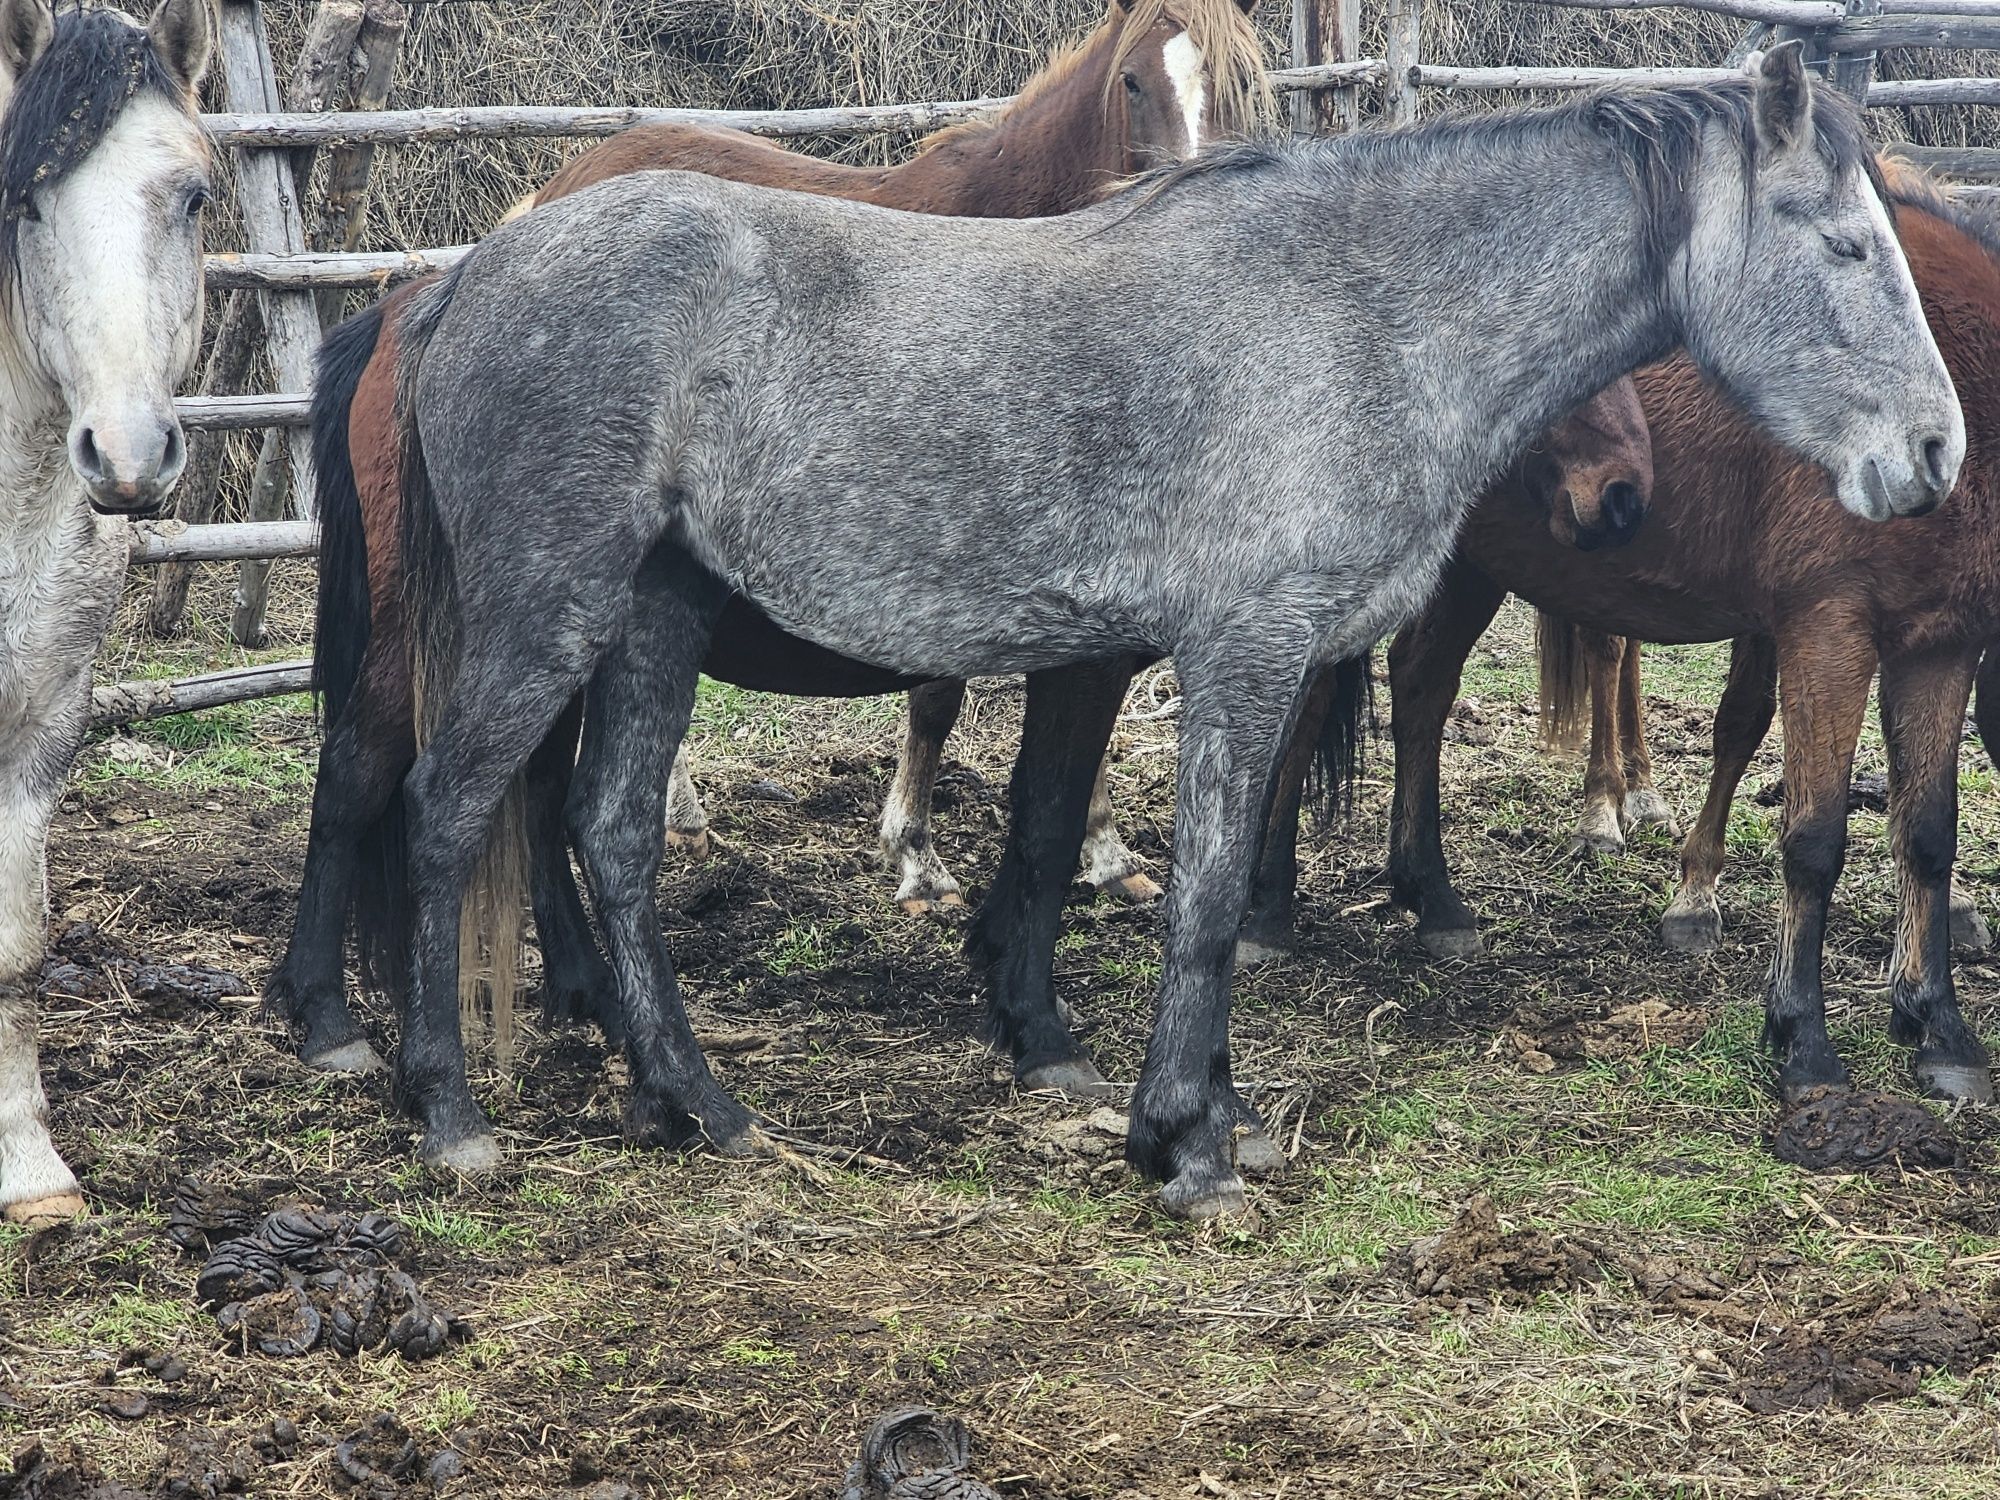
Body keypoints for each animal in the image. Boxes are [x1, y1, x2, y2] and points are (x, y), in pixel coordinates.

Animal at [266, 0, 1264, 1080]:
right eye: (1132, 81)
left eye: (1244, 87)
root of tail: (432, 295)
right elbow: (967, 724)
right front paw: (934, 868)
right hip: (430, 630)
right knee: (359, 770)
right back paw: (326, 1012)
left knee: (523, 794)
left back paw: (586, 987)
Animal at [1272, 170, 1992, 1112]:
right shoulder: (1826, 630)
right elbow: (1814, 837)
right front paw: (1801, 1036)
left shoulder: (1941, 644)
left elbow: (1929, 832)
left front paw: (1938, 1027)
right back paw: (1265, 908)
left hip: (1472, 561)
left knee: (1421, 684)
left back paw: (1432, 898)